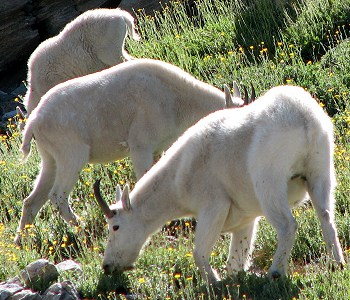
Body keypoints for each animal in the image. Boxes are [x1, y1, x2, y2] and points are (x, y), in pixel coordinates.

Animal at [14, 58, 243, 244]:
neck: (174, 98)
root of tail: (34, 121)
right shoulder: (140, 147)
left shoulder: (156, 151)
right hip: (71, 156)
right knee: (57, 196)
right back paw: (82, 227)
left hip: (50, 159)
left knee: (32, 201)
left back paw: (21, 241)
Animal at [94, 85, 346, 284]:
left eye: (115, 226)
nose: (107, 266)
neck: (177, 181)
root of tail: (305, 119)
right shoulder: (245, 219)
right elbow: (236, 260)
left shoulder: (213, 206)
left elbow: (198, 253)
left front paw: (214, 282)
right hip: (320, 170)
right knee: (326, 215)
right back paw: (337, 264)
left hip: (269, 182)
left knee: (287, 225)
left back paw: (275, 272)